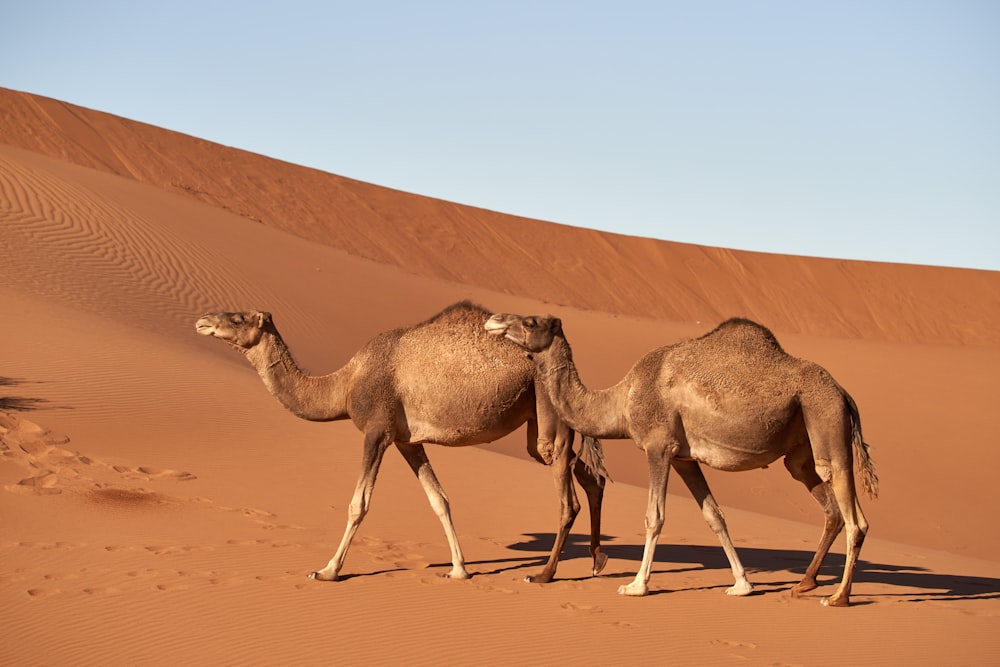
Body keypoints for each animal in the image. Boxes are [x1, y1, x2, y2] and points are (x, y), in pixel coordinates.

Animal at [195, 302, 608, 584]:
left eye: (237, 319)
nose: (203, 319)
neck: (344, 384)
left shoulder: (376, 430)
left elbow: (358, 504)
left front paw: (328, 570)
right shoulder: (407, 440)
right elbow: (439, 499)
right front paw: (459, 569)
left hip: (548, 416)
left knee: (567, 492)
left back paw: (547, 574)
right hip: (537, 424)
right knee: (591, 475)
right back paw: (597, 560)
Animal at [488, 314, 880, 604]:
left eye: (530, 321)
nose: (494, 321)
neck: (622, 399)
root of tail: (844, 394)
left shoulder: (658, 446)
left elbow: (654, 516)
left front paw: (636, 585)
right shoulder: (684, 457)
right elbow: (714, 516)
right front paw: (742, 584)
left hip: (825, 420)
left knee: (855, 517)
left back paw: (839, 597)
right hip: (801, 451)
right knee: (829, 507)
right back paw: (805, 584)